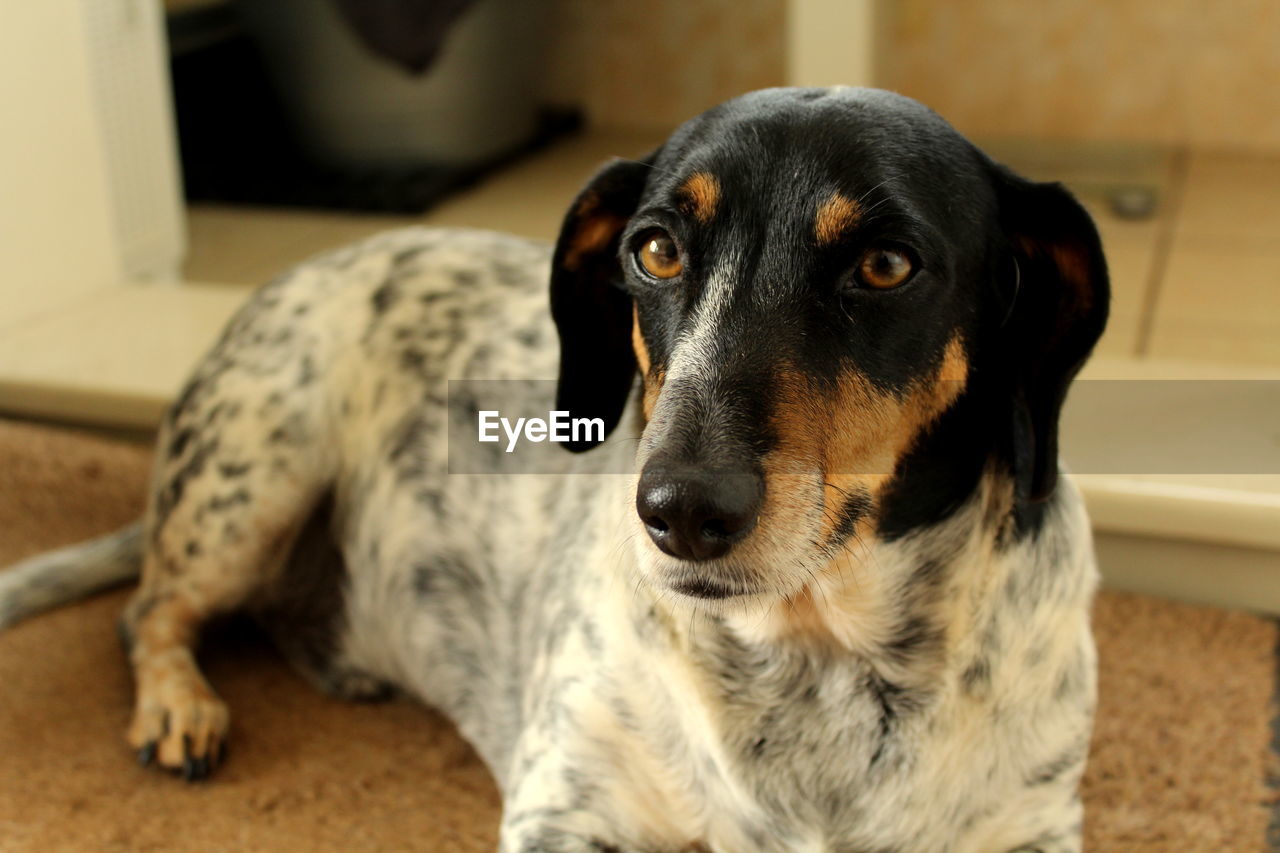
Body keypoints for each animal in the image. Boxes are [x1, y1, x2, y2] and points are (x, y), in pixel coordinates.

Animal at [0, 87, 1105, 850]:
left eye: (885, 264)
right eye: (654, 251)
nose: (677, 509)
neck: (816, 654)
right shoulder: (567, 807)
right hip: (256, 474)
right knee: (147, 611)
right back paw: (179, 707)